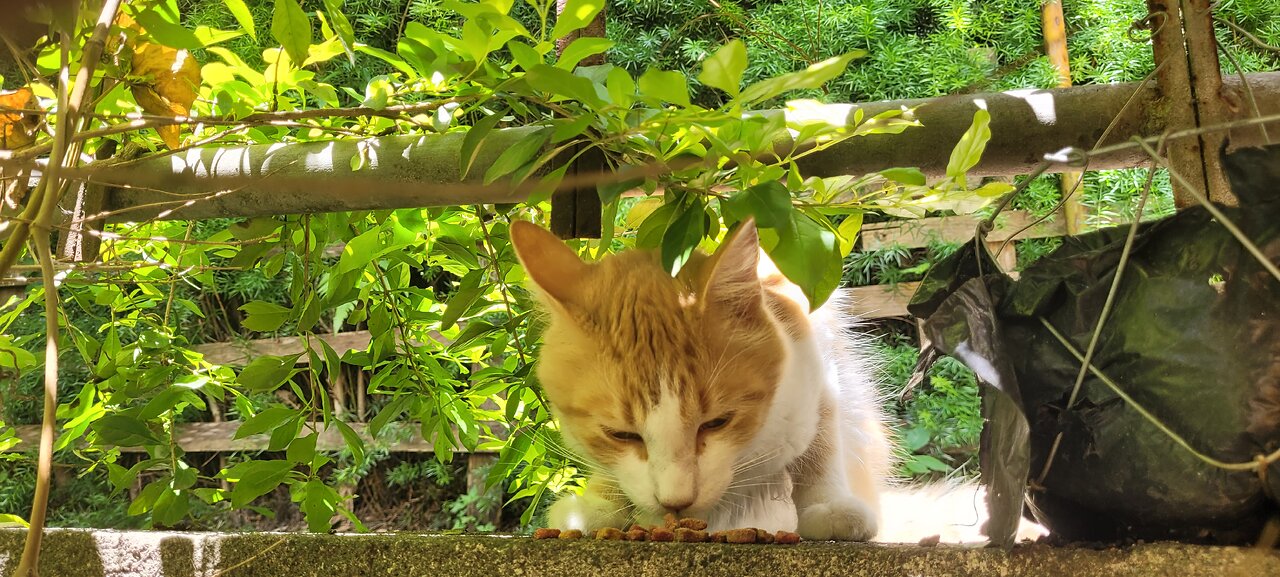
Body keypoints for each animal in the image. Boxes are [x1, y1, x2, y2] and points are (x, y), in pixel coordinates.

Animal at [509, 217, 890, 542]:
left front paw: (827, 503)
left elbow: (821, 442)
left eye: (717, 423)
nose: (676, 501)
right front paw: (599, 502)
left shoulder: (816, 365)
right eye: (620, 434)